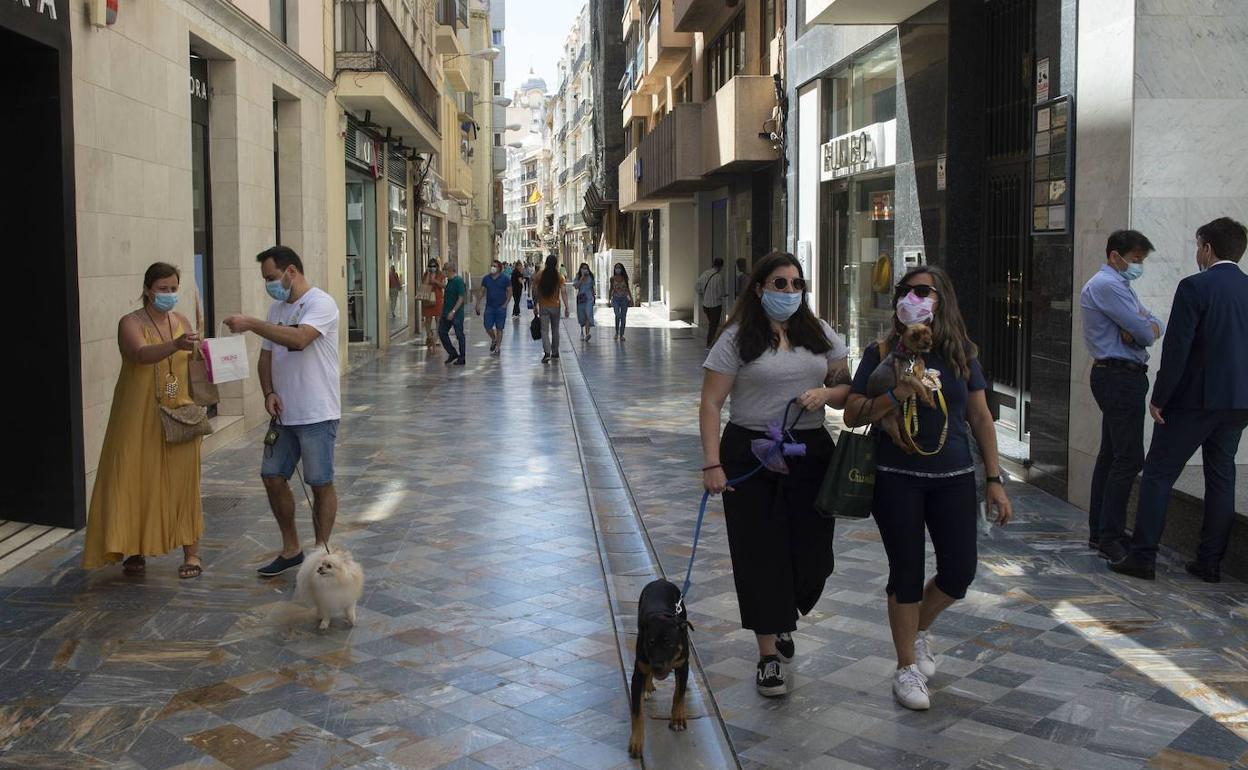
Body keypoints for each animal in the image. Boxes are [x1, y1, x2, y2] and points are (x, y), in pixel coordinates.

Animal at [624, 576, 693, 758]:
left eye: (669, 643)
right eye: (650, 642)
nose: (657, 666)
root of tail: (660, 580)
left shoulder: (683, 665)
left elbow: (679, 694)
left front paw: (677, 719)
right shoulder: (638, 671)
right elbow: (637, 713)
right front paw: (636, 742)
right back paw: (647, 686)